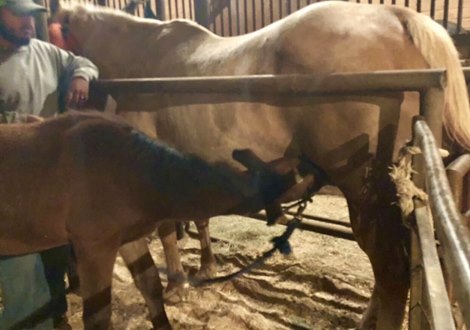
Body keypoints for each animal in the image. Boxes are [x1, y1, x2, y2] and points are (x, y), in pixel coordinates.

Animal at [51, 1, 470, 328]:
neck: (136, 59)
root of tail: (398, 17)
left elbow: (169, 230)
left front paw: (178, 284)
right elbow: (198, 220)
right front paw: (205, 269)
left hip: (367, 194)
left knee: (391, 272)